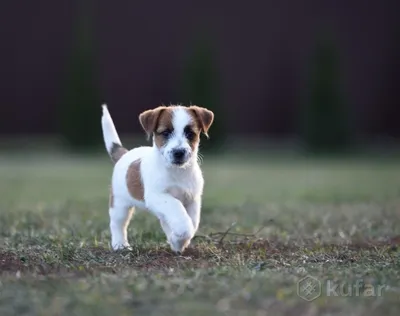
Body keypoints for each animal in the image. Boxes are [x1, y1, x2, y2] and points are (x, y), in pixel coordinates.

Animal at [101, 103, 214, 254]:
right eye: (165, 133)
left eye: (190, 133)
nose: (179, 152)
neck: (176, 172)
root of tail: (124, 154)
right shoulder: (157, 196)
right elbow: (179, 212)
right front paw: (179, 235)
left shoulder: (192, 199)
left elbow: (193, 222)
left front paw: (177, 242)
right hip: (119, 205)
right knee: (118, 224)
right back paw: (120, 245)